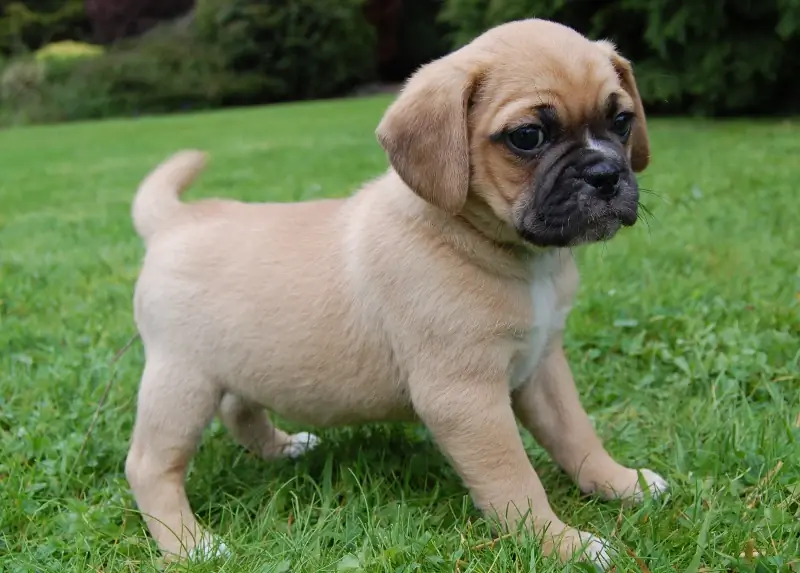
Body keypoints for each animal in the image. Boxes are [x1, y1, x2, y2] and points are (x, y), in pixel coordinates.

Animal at [126, 17, 668, 568]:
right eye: (527, 136)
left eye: (622, 121)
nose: (606, 174)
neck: (489, 245)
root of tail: (172, 221)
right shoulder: (466, 398)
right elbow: (515, 481)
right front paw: (560, 544)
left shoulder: (543, 366)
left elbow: (577, 436)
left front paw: (621, 484)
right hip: (181, 383)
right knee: (148, 465)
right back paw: (190, 544)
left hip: (234, 364)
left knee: (239, 410)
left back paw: (282, 448)